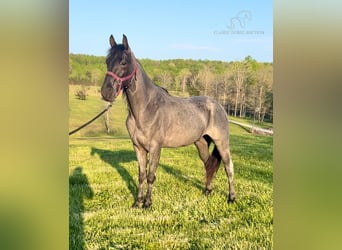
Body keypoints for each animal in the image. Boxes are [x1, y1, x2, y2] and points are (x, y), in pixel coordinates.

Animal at [101, 34, 235, 208]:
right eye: (107, 61)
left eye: (123, 62)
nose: (106, 92)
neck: (146, 109)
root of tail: (218, 106)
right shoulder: (138, 147)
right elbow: (141, 175)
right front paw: (137, 202)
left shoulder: (155, 147)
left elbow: (151, 176)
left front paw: (147, 203)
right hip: (201, 143)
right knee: (209, 165)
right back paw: (207, 191)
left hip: (222, 143)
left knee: (228, 167)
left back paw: (231, 198)